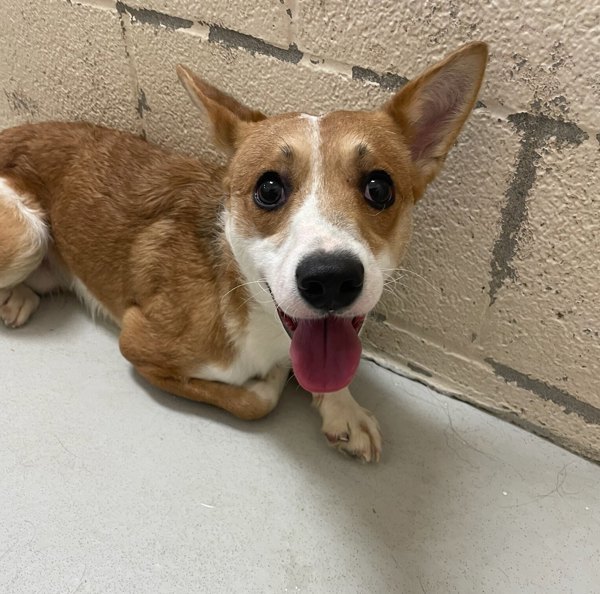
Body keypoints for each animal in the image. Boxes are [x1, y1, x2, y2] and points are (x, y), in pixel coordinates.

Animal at [0, 41, 488, 460]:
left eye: (379, 188)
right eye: (268, 188)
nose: (331, 278)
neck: (255, 315)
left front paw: (341, 406)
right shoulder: (138, 344)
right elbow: (256, 403)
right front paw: (272, 382)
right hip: (28, 235)